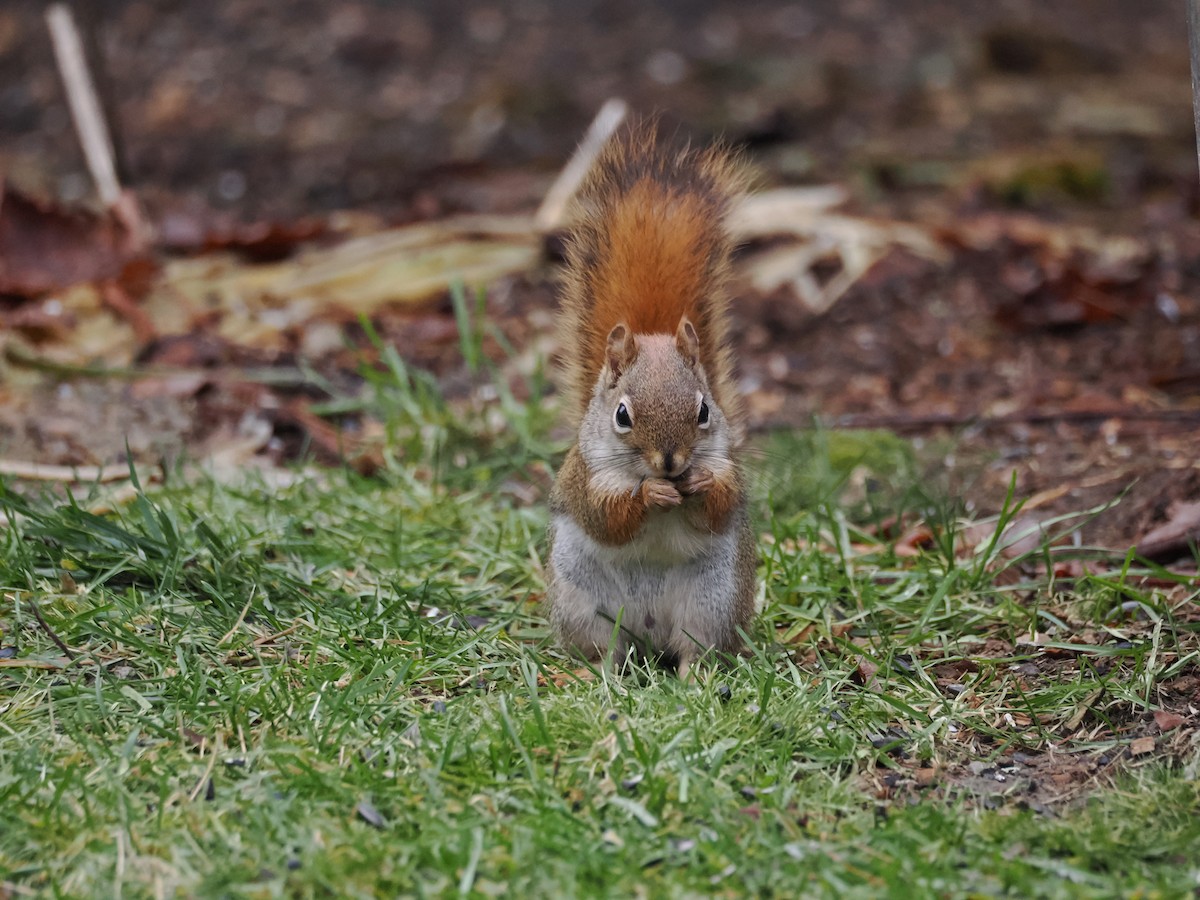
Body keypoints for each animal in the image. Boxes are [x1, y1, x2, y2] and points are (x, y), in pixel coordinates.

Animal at [546, 122, 756, 679]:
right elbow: (607, 517)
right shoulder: (587, 476)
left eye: (704, 411)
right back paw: (597, 672)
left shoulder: (730, 467)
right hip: (581, 598)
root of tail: (650, 638)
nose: (670, 464)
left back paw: (694, 677)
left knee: (695, 647)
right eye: (622, 415)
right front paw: (649, 496)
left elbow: (720, 505)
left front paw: (700, 484)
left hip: (714, 598)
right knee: (606, 648)